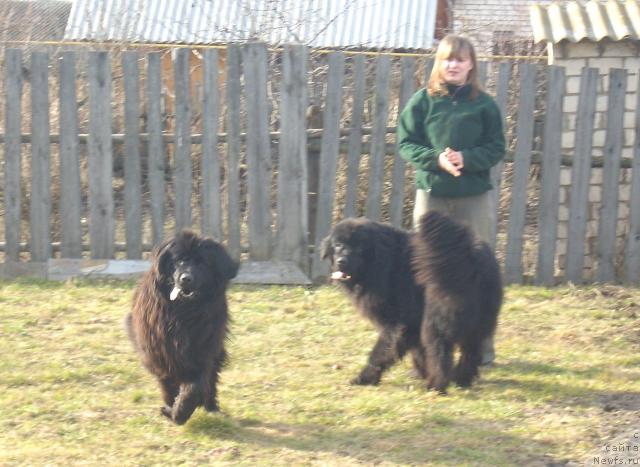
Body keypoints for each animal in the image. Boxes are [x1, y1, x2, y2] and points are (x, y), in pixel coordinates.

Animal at [125, 230, 238, 424]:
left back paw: (212, 408)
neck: (184, 312)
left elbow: (196, 386)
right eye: (179, 261)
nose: (186, 278)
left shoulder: (204, 350)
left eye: (202, 262)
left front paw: (180, 411)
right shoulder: (161, 352)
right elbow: (169, 383)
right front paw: (171, 409)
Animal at [320, 218, 430, 386]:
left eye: (359, 247)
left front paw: (365, 378)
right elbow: (419, 350)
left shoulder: (399, 324)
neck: (389, 264)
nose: (341, 261)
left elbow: (381, 352)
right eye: (338, 244)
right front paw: (422, 374)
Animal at [412, 212, 502, 394]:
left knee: (441, 357)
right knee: (470, 354)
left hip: (435, 327)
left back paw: (436, 386)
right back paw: (462, 380)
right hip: (480, 327)